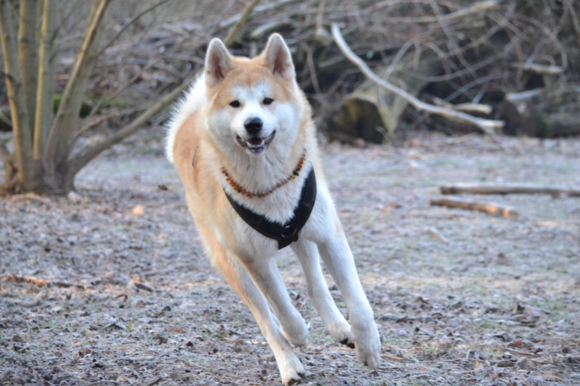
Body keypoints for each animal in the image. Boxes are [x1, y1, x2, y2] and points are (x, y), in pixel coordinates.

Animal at [164, 34, 380, 386]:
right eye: (235, 104)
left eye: (267, 101)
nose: (253, 124)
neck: (269, 183)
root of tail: (186, 123)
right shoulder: (254, 259)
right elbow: (281, 307)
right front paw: (297, 334)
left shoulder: (329, 235)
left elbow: (359, 302)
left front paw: (368, 346)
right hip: (232, 264)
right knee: (266, 318)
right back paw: (289, 364)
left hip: (304, 234)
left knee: (314, 284)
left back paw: (339, 328)